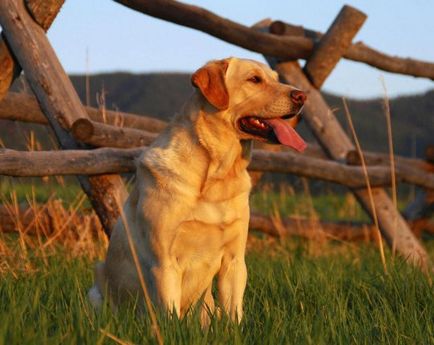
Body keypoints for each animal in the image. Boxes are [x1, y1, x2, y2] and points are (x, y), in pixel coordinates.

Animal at [89, 56, 306, 322]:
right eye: (254, 79)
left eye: (276, 78)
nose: (302, 96)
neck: (217, 175)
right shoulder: (164, 262)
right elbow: (170, 316)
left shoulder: (234, 260)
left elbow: (234, 315)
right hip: (96, 292)